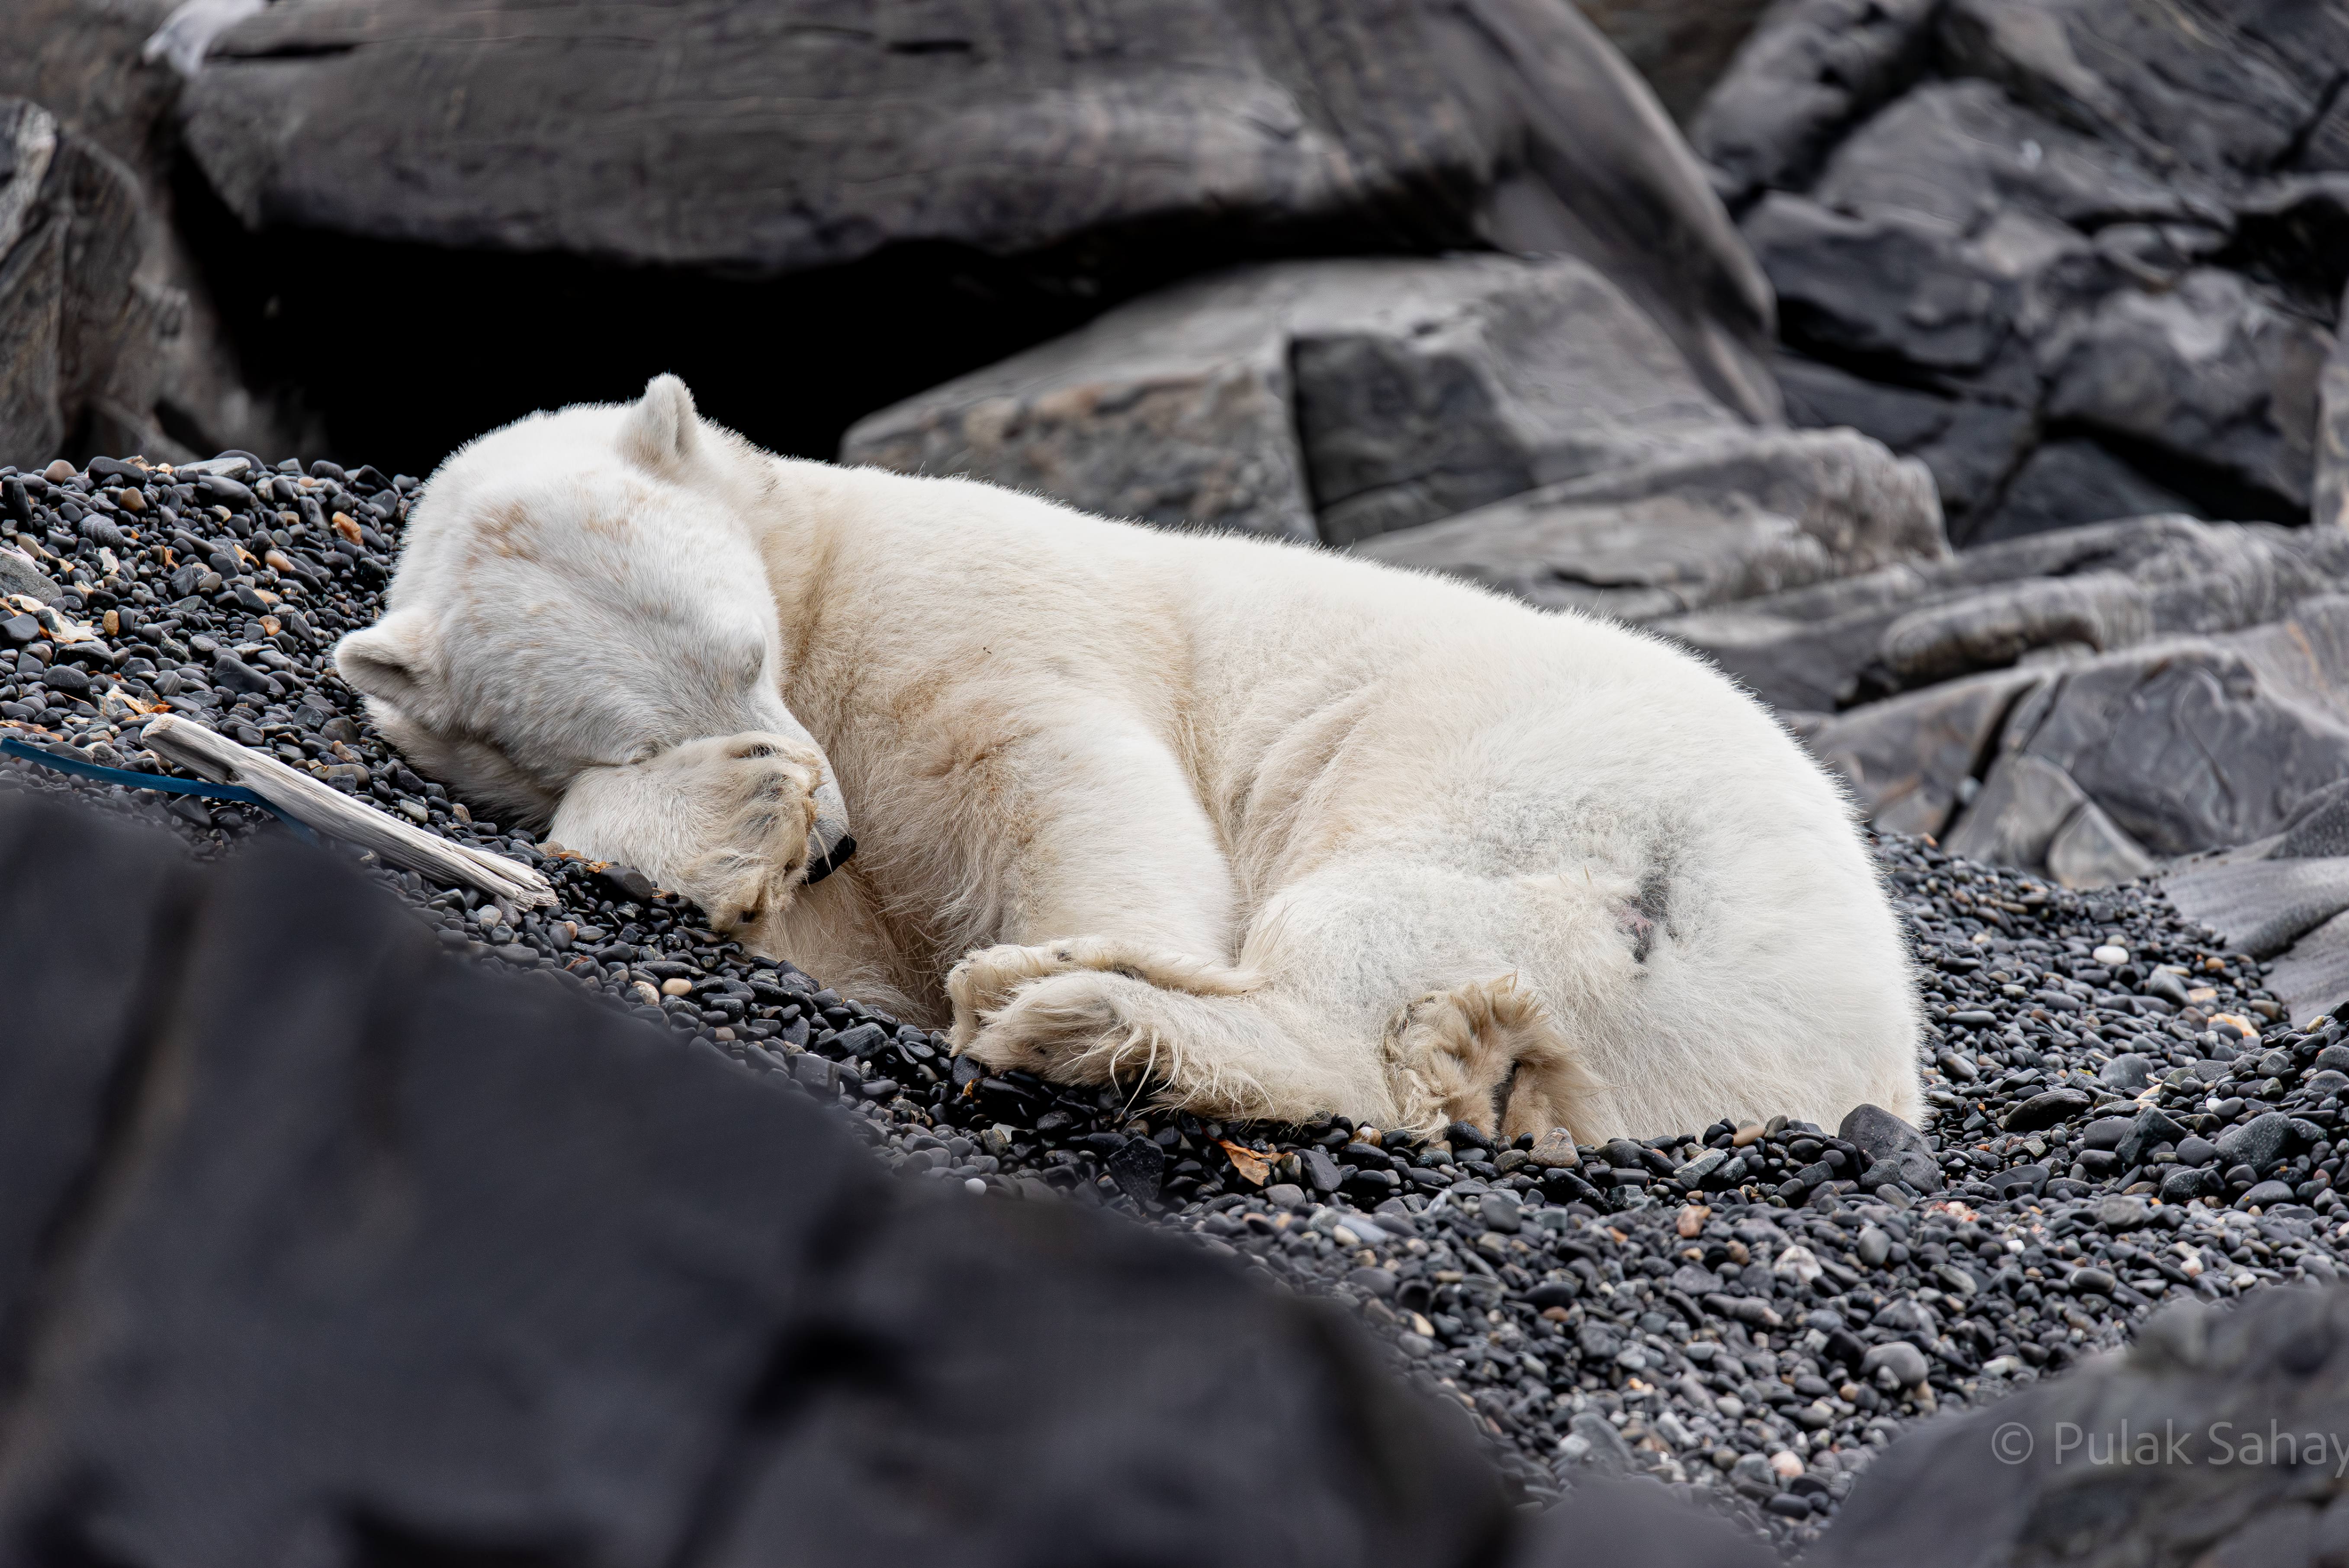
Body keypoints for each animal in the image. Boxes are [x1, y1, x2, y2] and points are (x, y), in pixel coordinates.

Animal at [335, 375, 1925, 1143]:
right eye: (651, 718)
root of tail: (1859, 1043)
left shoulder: (962, 598)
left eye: (747, 648)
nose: (836, 832)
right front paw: (737, 817)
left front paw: (1048, 952)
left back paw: (1079, 1008)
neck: (817, 564)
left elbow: (1068, 774)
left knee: (1367, 938)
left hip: (1565, 805)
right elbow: (824, 932)